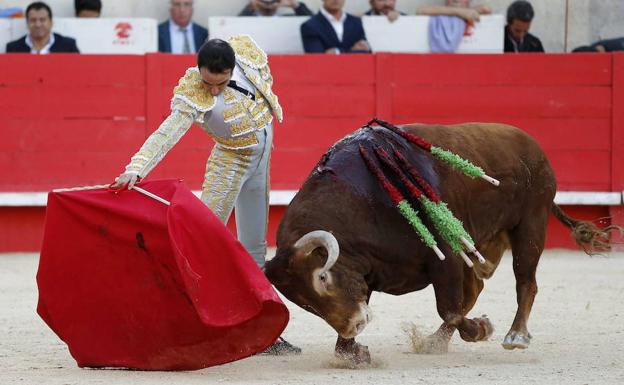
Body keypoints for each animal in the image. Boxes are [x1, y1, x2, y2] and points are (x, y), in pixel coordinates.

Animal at [262, 120, 616, 364]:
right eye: (304, 303)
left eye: (322, 277)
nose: (354, 326)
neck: (359, 201)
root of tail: (532, 146)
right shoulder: (372, 269)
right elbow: (450, 305)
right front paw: (353, 352)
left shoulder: (446, 256)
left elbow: (448, 306)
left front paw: (481, 329)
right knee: (476, 290)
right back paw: (435, 342)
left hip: (531, 223)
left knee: (525, 282)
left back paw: (515, 336)